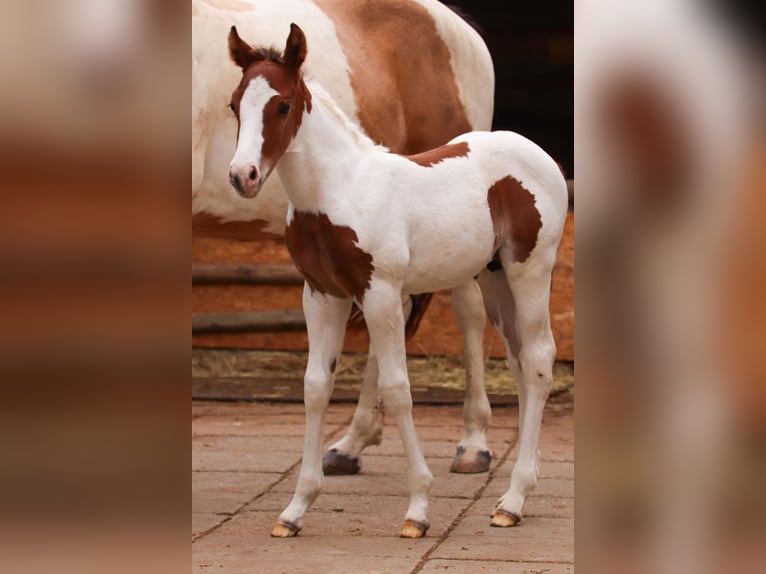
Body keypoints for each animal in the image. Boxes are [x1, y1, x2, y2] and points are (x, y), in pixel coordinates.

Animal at [192, 0, 498, 476]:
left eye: (284, 106)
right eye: (233, 105)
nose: (242, 176)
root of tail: (459, 28)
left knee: (468, 310)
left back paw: (472, 443)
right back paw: (353, 442)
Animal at [226, 24, 568, 538]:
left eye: (283, 105)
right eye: (233, 104)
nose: (242, 176)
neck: (338, 191)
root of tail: (540, 154)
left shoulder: (381, 293)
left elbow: (397, 388)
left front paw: (418, 510)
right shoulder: (320, 295)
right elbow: (315, 386)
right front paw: (294, 510)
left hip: (531, 270)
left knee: (541, 360)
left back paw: (512, 500)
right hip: (494, 279)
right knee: (520, 361)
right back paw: (518, 489)